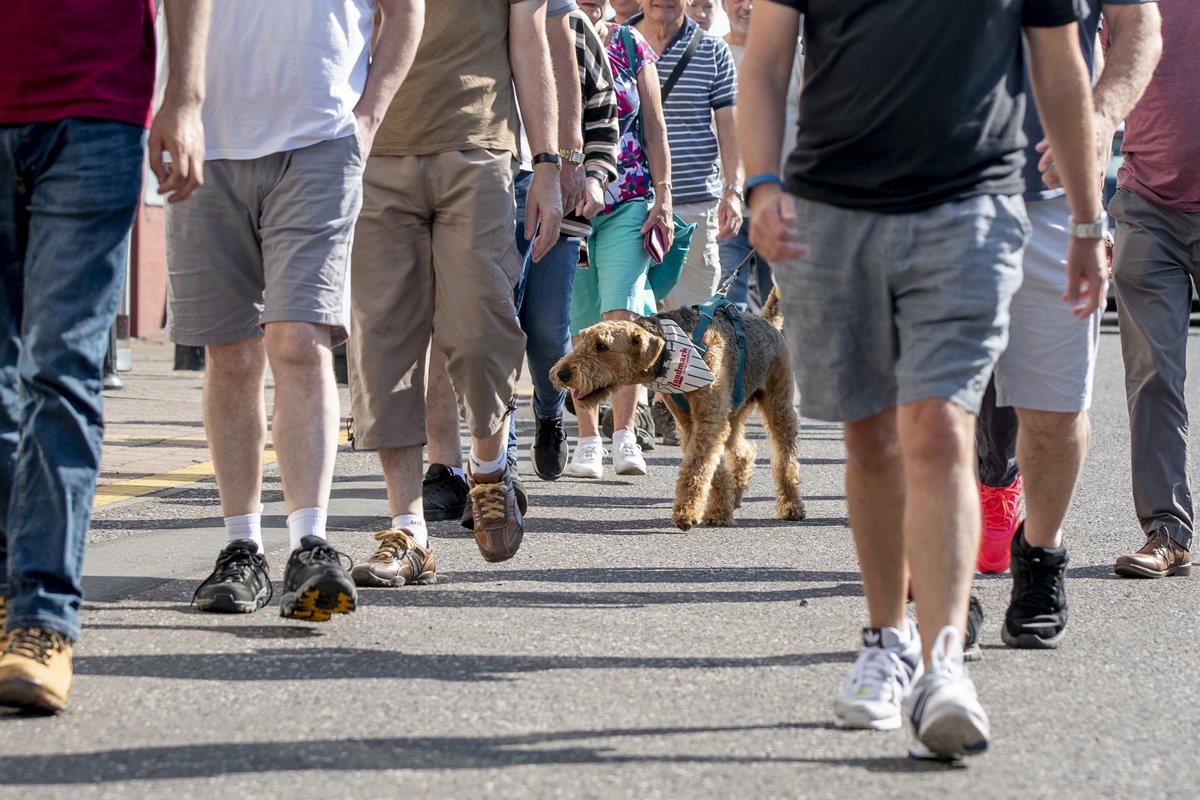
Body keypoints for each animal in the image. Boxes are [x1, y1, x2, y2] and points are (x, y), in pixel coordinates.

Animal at [552, 293, 806, 532]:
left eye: (602, 346)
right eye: (583, 338)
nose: (561, 373)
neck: (673, 351)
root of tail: (767, 322)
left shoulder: (708, 420)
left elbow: (696, 468)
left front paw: (686, 514)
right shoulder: (692, 422)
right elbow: (711, 468)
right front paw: (718, 510)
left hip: (778, 407)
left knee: (785, 461)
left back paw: (791, 507)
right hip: (733, 413)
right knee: (745, 451)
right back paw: (735, 494)